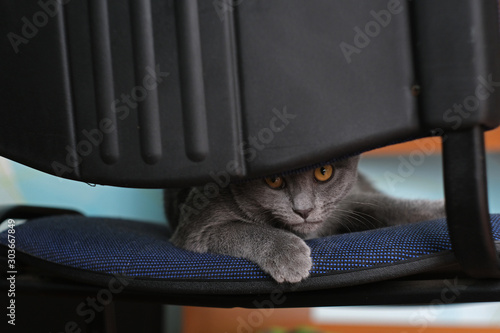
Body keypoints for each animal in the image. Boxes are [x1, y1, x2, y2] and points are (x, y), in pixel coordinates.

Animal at [166, 156, 444, 282]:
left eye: (324, 172)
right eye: (273, 179)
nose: (303, 209)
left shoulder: (350, 202)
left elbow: (387, 205)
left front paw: (438, 212)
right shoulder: (197, 225)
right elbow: (243, 229)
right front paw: (289, 256)